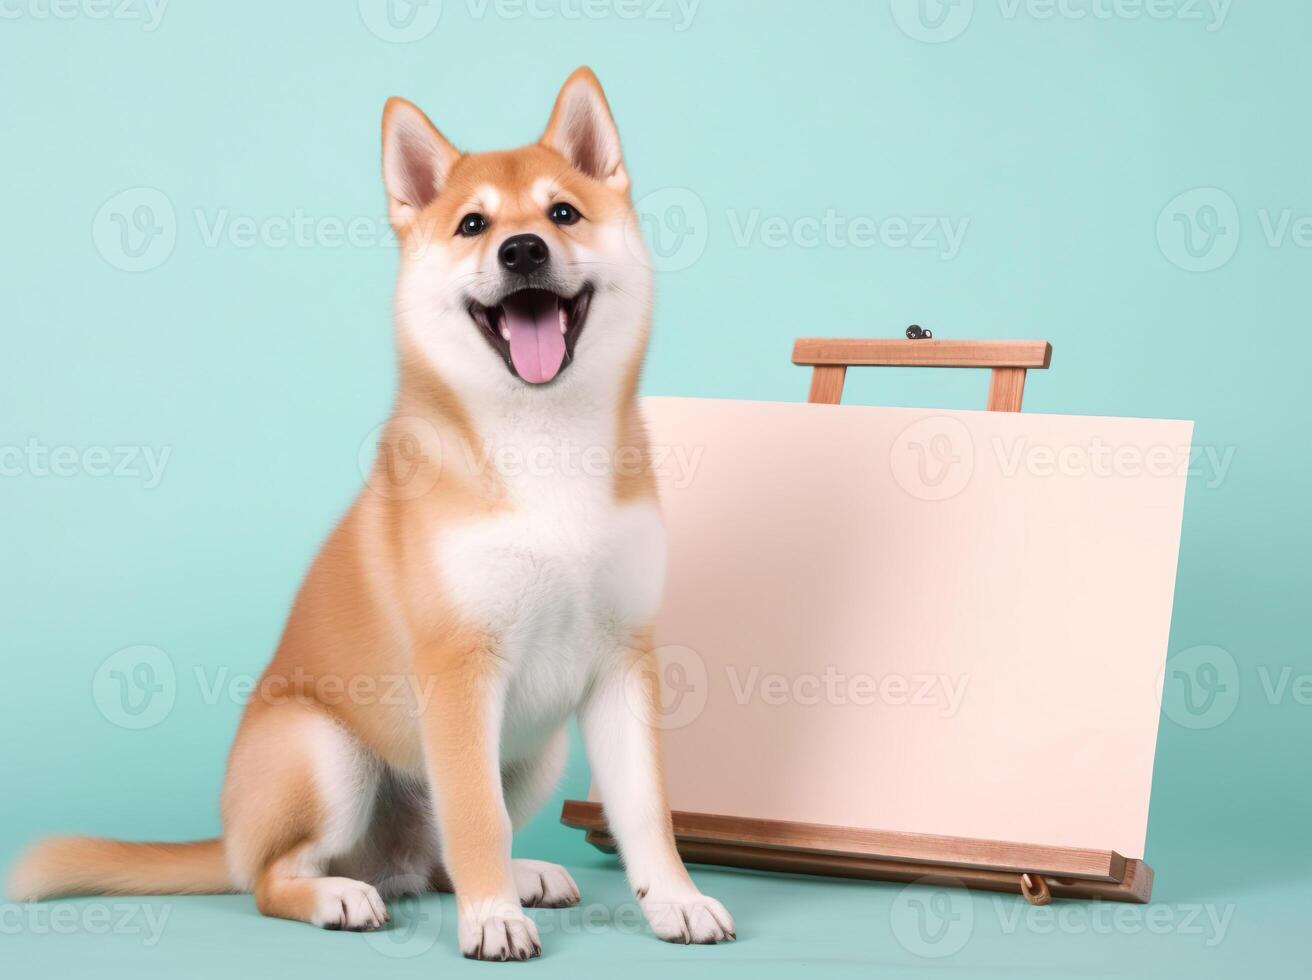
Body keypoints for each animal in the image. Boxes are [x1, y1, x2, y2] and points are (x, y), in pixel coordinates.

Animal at [10, 67, 734, 960]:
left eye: (562, 213)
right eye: (473, 224)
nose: (523, 250)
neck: (543, 444)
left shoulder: (622, 662)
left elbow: (643, 811)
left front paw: (674, 900)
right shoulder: (459, 669)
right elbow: (477, 816)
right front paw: (493, 919)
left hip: (537, 748)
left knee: (435, 858)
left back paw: (516, 875)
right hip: (326, 755)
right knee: (276, 878)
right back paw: (338, 895)